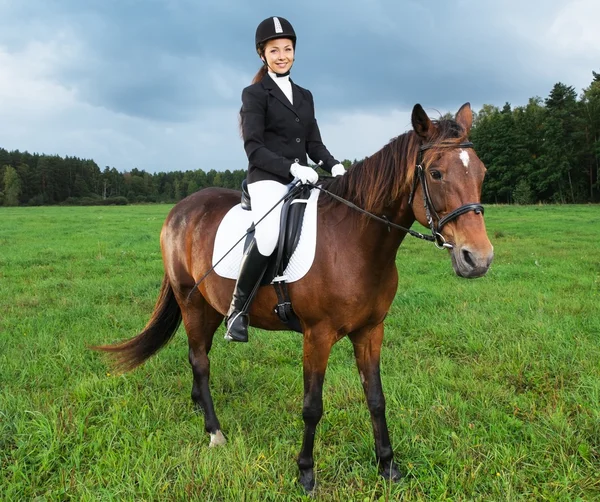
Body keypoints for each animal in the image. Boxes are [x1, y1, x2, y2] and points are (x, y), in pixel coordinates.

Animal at [94, 103, 494, 494]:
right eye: (436, 174)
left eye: (482, 172)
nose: (478, 259)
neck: (355, 242)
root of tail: (180, 209)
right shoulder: (317, 336)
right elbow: (312, 406)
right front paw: (306, 473)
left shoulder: (371, 332)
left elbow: (376, 398)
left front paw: (387, 466)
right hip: (189, 301)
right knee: (200, 360)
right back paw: (215, 431)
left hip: (208, 306)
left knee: (198, 354)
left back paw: (198, 407)